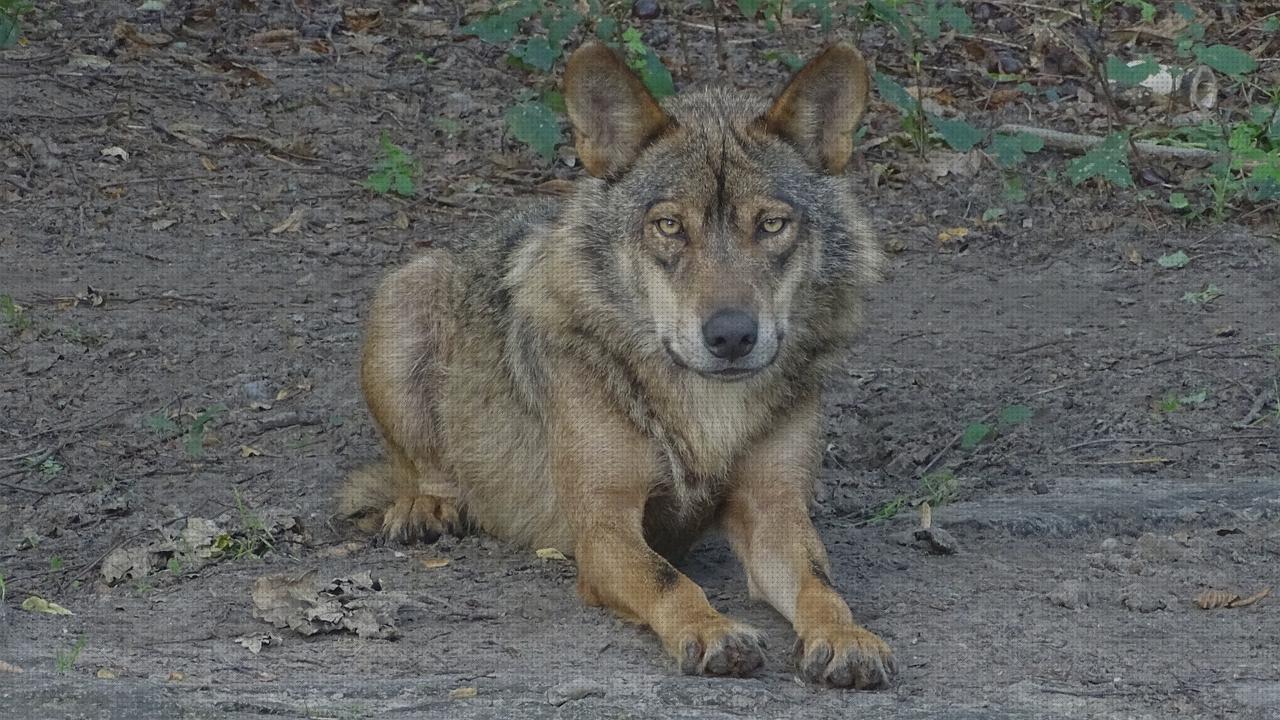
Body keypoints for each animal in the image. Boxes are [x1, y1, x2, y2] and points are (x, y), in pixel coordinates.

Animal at [345, 40, 896, 681]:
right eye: (669, 226)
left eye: (771, 224)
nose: (732, 335)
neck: (707, 411)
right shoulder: (603, 527)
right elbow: (668, 580)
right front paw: (711, 630)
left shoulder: (775, 513)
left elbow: (820, 585)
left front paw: (846, 635)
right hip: (404, 294)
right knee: (423, 467)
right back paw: (427, 505)